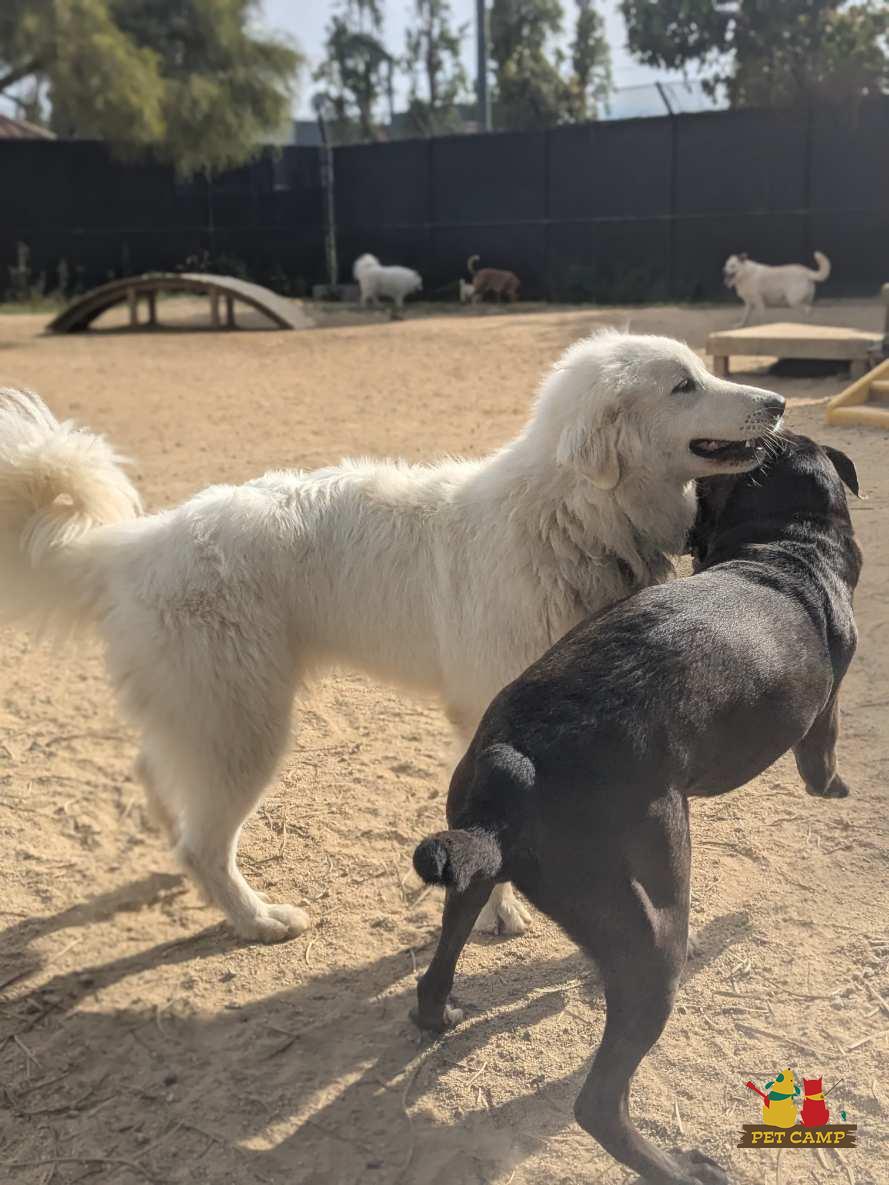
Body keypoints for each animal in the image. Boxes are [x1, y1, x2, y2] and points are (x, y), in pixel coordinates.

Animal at [0, 333, 784, 944]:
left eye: (701, 370)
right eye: (683, 384)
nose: (778, 403)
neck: (568, 516)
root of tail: (134, 545)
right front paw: (499, 912)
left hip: (204, 718)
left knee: (160, 783)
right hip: (244, 729)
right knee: (204, 843)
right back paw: (257, 919)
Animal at [412, 431, 860, 1185]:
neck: (782, 546)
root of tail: (519, 764)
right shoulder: (821, 714)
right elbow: (821, 761)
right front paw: (837, 789)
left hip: (476, 862)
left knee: (440, 957)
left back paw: (438, 1012)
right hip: (651, 937)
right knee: (599, 1104)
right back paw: (680, 1167)